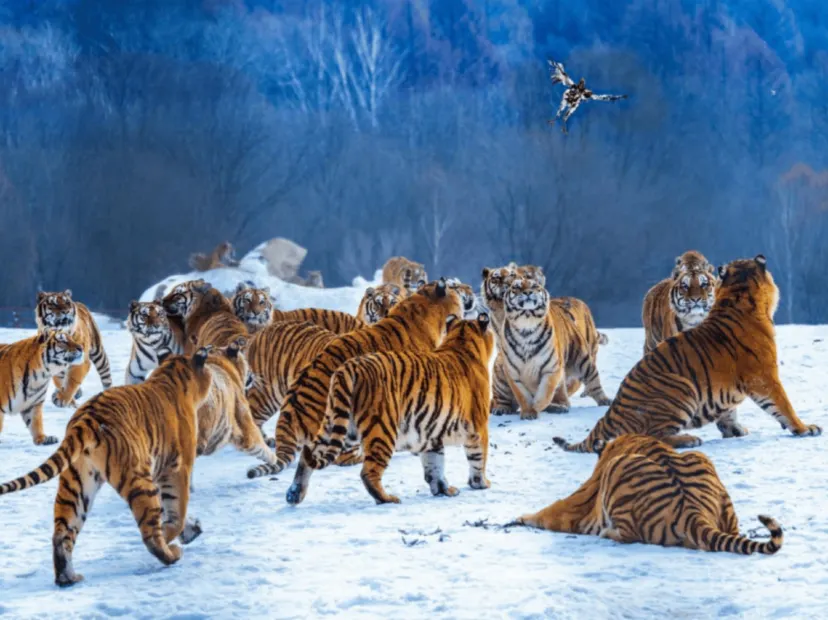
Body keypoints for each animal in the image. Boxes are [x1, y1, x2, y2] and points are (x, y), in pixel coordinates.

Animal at [0, 347, 215, 586]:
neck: (171, 374)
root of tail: (86, 418)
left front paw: (191, 528)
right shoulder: (177, 469)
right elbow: (177, 510)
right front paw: (177, 534)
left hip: (76, 485)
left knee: (62, 533)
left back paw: (68, 577)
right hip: (138, 478)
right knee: (149, 534)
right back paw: (171, 554)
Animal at [287, 313, 495, 506]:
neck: (461, 340)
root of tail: (348, 368)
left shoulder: (431, 434)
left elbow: (435, 465)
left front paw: (444, 489)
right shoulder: (478, 427)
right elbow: (478, 457)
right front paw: (480, 483)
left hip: (338, 425)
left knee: (308, 455)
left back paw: (294, 494)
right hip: (382, 429)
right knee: (368, 472)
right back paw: (387, 499)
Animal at [498, 278, 611, 419]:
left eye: (534, 286)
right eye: (517, 287)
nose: (528, 292)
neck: (526, 323)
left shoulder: (551, 369)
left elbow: (545, 392)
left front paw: (537, 406)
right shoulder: (513, 374)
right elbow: (522, 395)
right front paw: (528, 412)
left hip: (583, 360)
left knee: (593, 382)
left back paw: (603, 400)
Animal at [512, 434, 783, 555]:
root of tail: (693, 513)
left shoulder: (580, 498)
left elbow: (551, 510)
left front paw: (519, 517)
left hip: (619, 469)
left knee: (629, 536)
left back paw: (607, 532)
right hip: (702, 459)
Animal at [554, 255, 822, 453]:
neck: (738, 297)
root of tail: (612, 412)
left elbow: (730, 412)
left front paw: (735, 430)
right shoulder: (765, 377)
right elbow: (784, 405)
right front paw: (805, 428)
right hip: (682, 388)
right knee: (650, 435)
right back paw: (688, 440)